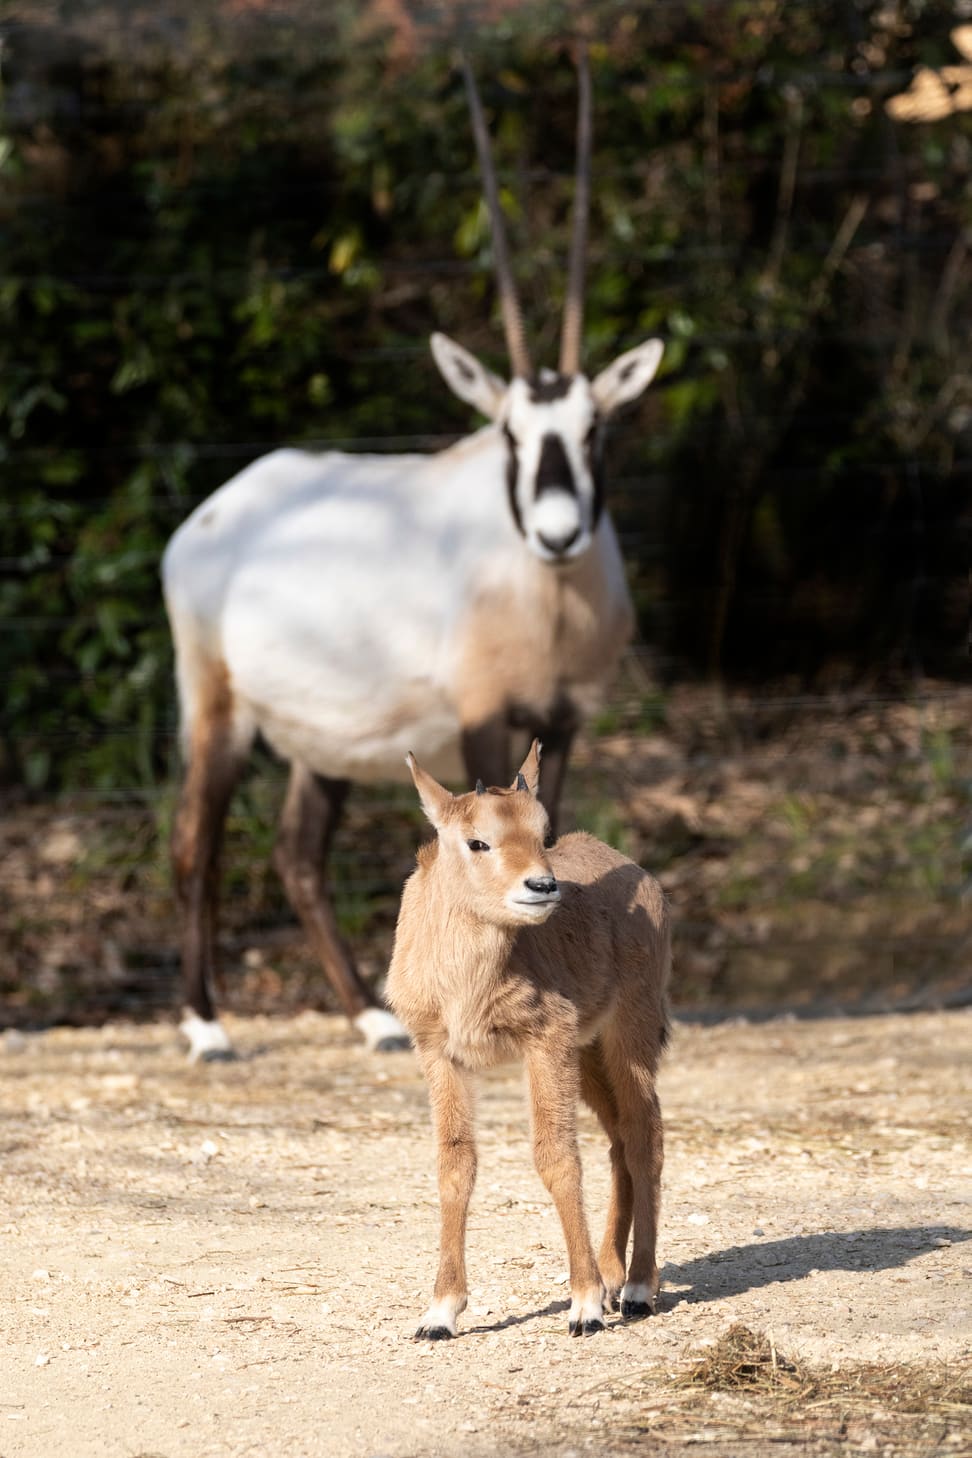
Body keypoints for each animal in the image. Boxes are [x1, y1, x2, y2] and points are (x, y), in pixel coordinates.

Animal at [384, 746, 670, 1335]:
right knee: (618, 1141)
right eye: (478, 841)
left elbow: (556, 1156)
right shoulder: (438, 1053)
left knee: (643, 1134)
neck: (465, 980)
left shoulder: (546, 1040)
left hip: (628, 1033)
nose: (542, 886)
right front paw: (440, 1312)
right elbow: (456, 1164)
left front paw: (584, 1305)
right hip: (589, 1054)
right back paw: (613, 1275)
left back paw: (636, 1287)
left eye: (542, 832)